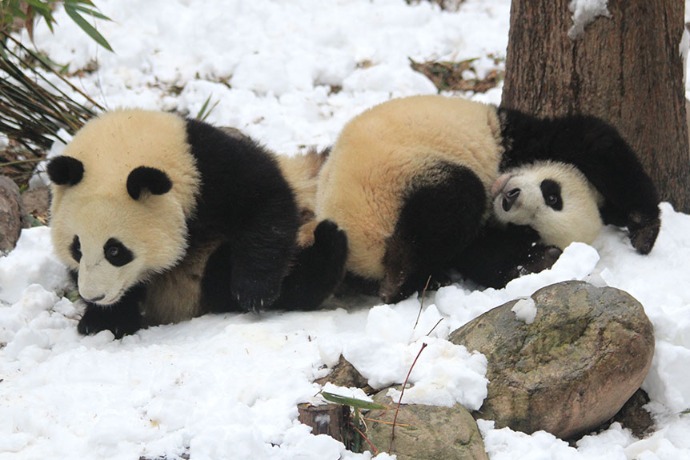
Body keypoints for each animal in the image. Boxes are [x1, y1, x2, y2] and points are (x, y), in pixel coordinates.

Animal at [48, 109, 346, 338]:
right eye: (77, 248)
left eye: (115, 250)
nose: (94, 296)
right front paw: (105, 321)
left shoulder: (209, 165)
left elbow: (266, 203)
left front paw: (254, 290)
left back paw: (329, 243)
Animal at [315, 95, 660, 302]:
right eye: (552, 195)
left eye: (528, 230)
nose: (510, 199)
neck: (502, 171)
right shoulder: (522, 137)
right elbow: (596, 142)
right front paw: (644, 228)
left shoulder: (486, 231)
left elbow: (482, 254)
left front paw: (540, 261)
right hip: (390, 177)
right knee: (459, 196)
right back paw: (399, 278)